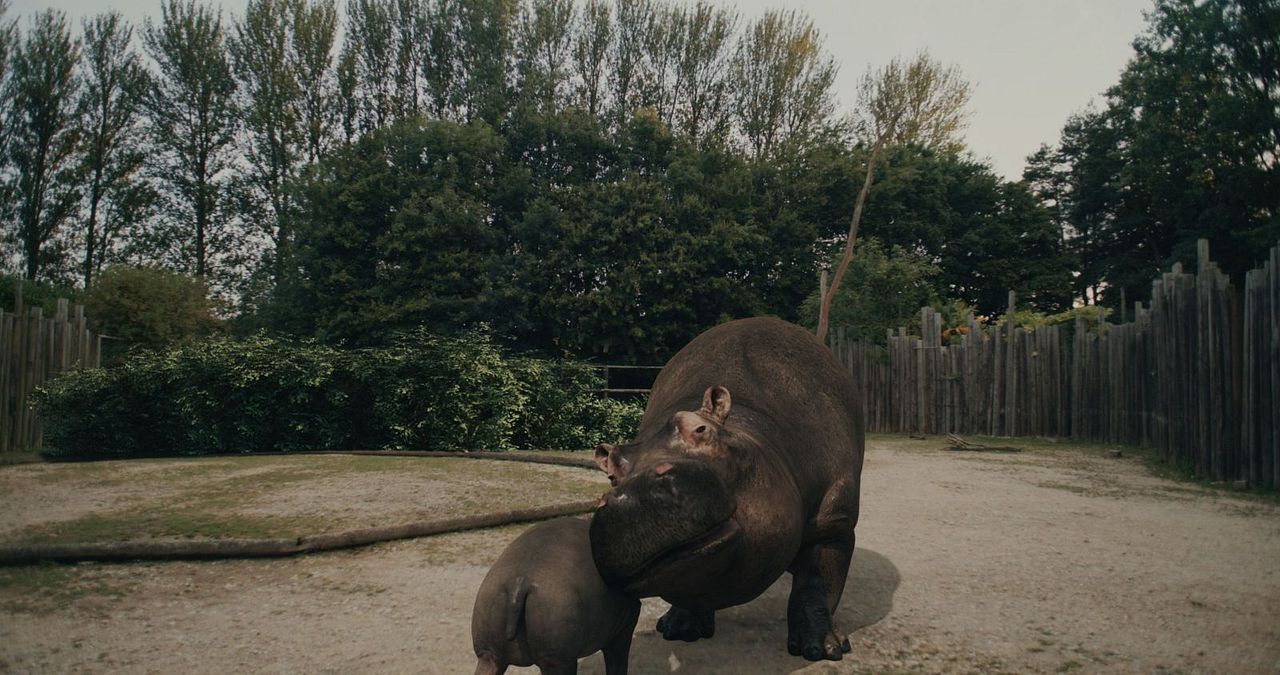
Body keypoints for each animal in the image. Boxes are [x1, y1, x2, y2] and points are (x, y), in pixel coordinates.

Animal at [589, 317, 864, 662]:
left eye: (699, 428)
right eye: (611, 469)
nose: (631, 496)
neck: (755, 433)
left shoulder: (832, 522)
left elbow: (816, 585)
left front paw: (821, 650)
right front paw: (680, 630)